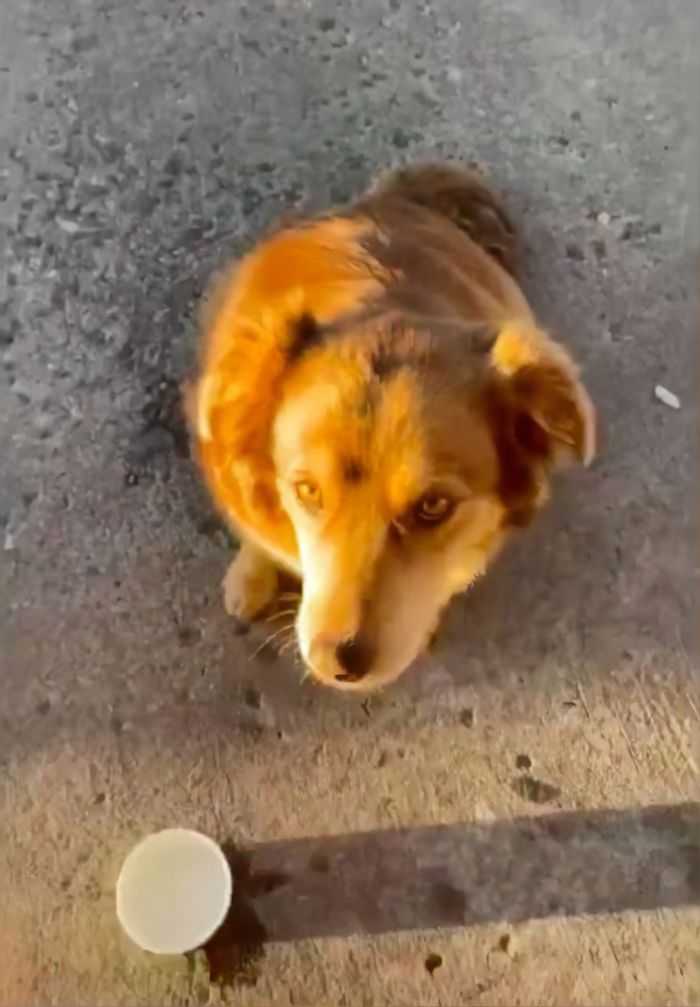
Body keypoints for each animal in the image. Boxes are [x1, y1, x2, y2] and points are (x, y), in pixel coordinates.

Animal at [187, 163, 596, 692]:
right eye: (307, 491)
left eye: (434, 506)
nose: (339, 662)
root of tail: (396, 200)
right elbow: (253, 536)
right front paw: (250, 578)